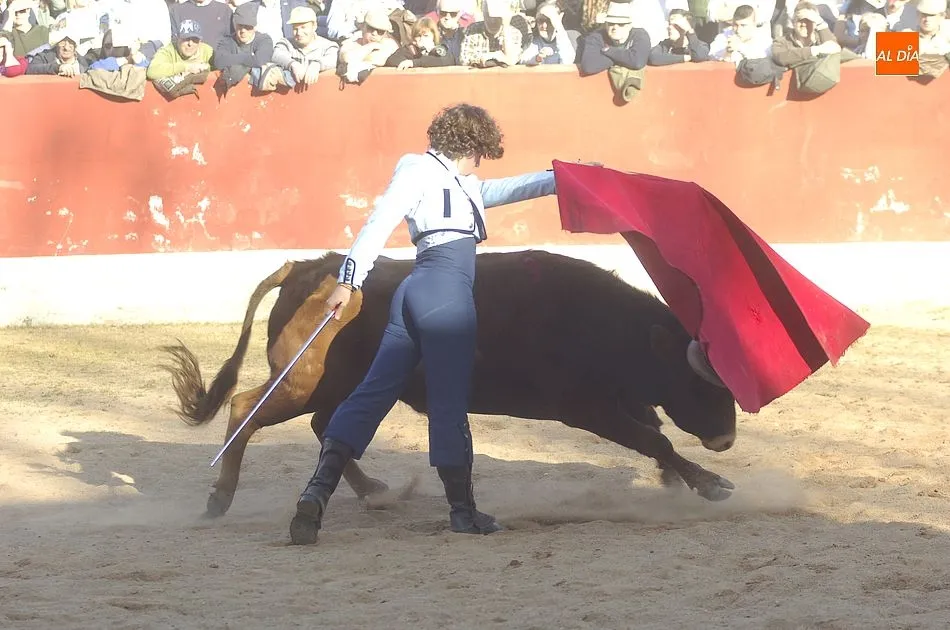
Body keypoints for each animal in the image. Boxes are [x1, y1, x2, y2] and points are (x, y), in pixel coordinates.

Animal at [160, 250, 737, 519]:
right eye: (699, 384)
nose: (727, 438)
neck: (605, 323)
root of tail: (307, 267)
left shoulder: (618, 398)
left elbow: (653, 429)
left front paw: (677, 480)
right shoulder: (584, 406)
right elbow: (653, 436)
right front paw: (711, 484)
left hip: (340, 385)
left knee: (325, 424)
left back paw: (374, 490)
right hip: (303, 381)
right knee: (246, 408)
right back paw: (219, 499)